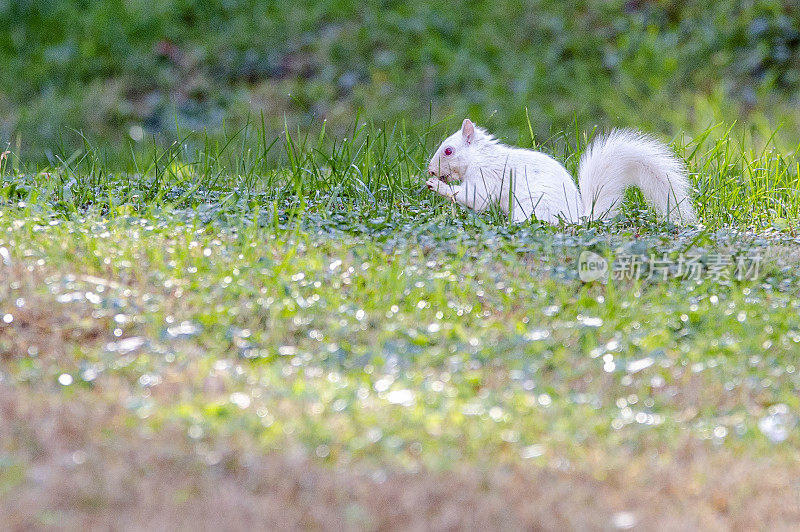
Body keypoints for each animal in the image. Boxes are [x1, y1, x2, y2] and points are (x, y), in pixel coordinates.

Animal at [424, 119, 692, 224]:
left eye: (448, 151)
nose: (430, 171)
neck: (479, 156)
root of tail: (579, 219)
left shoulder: (486, 174)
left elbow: (474, 197)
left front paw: (437, 187)